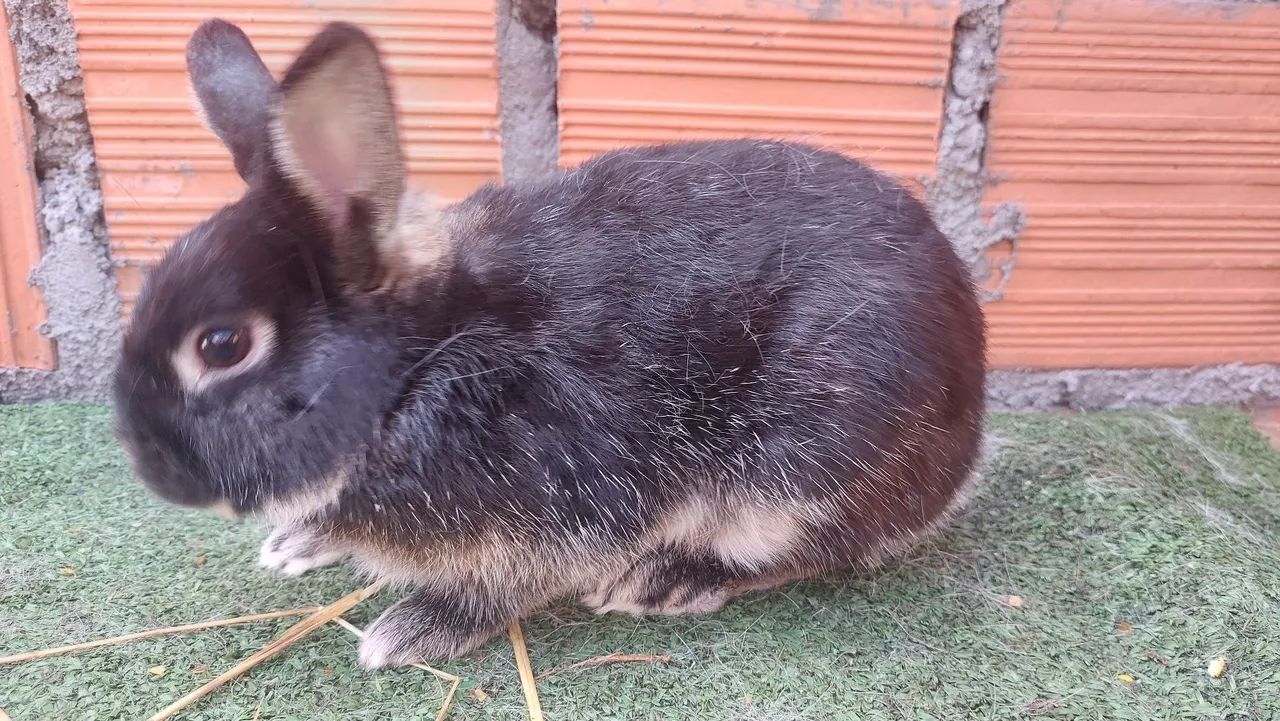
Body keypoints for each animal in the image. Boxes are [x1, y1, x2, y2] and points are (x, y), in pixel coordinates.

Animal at [113, 19, 987, 668]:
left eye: (223, 345)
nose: (146, 464)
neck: (424, 362)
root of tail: (970, 425)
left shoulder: (561, 504)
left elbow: (509, 583)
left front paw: (406, 632)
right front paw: (297, 544)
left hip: (800, 469)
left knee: (806, 550)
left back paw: (662, 581)